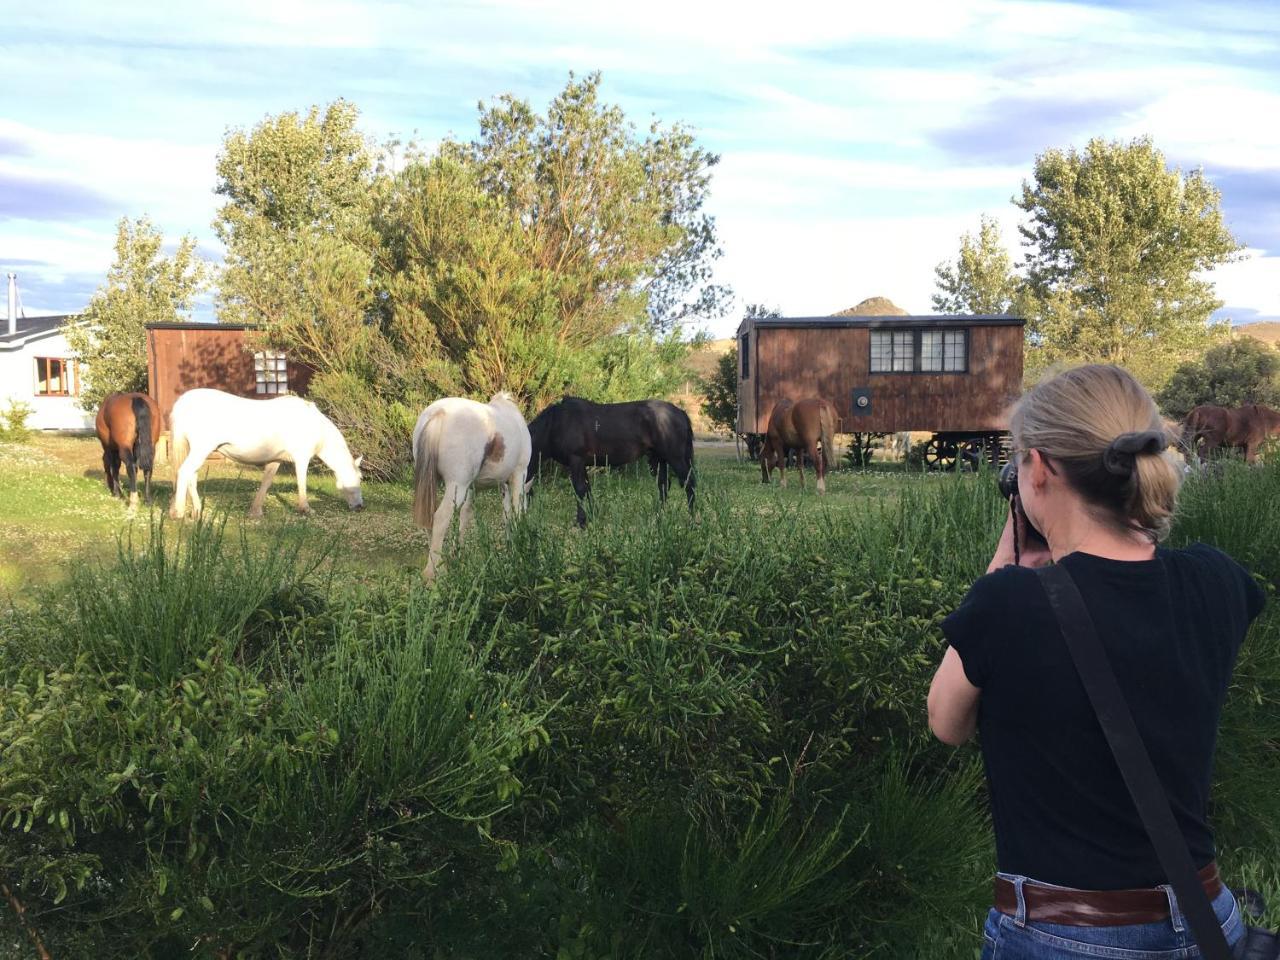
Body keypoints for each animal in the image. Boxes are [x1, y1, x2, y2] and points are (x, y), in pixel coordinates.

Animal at [167, 389, 363, 522]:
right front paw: (306, 509)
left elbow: (266, 483)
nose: (360, 507)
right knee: (184, 472)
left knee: (191, 477)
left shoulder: (276, 460)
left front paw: (255, 512)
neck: (315, 426)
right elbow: (302, 483)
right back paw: (178, 512)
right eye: (360, 478)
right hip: (201, 449)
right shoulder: (301, 458)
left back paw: (197, 511)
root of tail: (183, 402)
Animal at [409, 394, 529, 583]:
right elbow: (516, 512)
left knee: (429, 520)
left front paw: (458, 556)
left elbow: (468, 517)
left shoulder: (479, 487)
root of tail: (438, 413)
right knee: (440, 518)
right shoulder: (519, 474)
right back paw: (434, 572)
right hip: (456, 486)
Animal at [524, 399, 696, 529]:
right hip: (659, 459)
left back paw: (691, 519)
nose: (522, 520)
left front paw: (581, 522)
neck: (556, 424)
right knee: (664, 485)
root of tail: (680, 412)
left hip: (675, 458)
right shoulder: (582, 464)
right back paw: (659, 518)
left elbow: (579, 490)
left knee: (689, 483)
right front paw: (592, 516)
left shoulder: (576, 460)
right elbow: (587, 489)